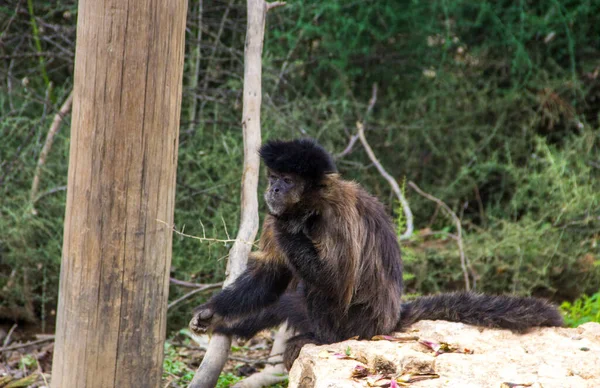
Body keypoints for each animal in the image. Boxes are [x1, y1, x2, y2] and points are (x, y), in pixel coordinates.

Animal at [189, 137, 564, 370]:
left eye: (288, 180)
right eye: (273, 177)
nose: (275, 189)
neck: (310, 206)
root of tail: (390, 317)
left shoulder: (334, 214)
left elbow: (336, 279)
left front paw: (291, 228)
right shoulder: (273, 213)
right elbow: (270, 274)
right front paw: (212, 312)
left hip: (359, 324)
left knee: (315, 287)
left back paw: (322, 338)